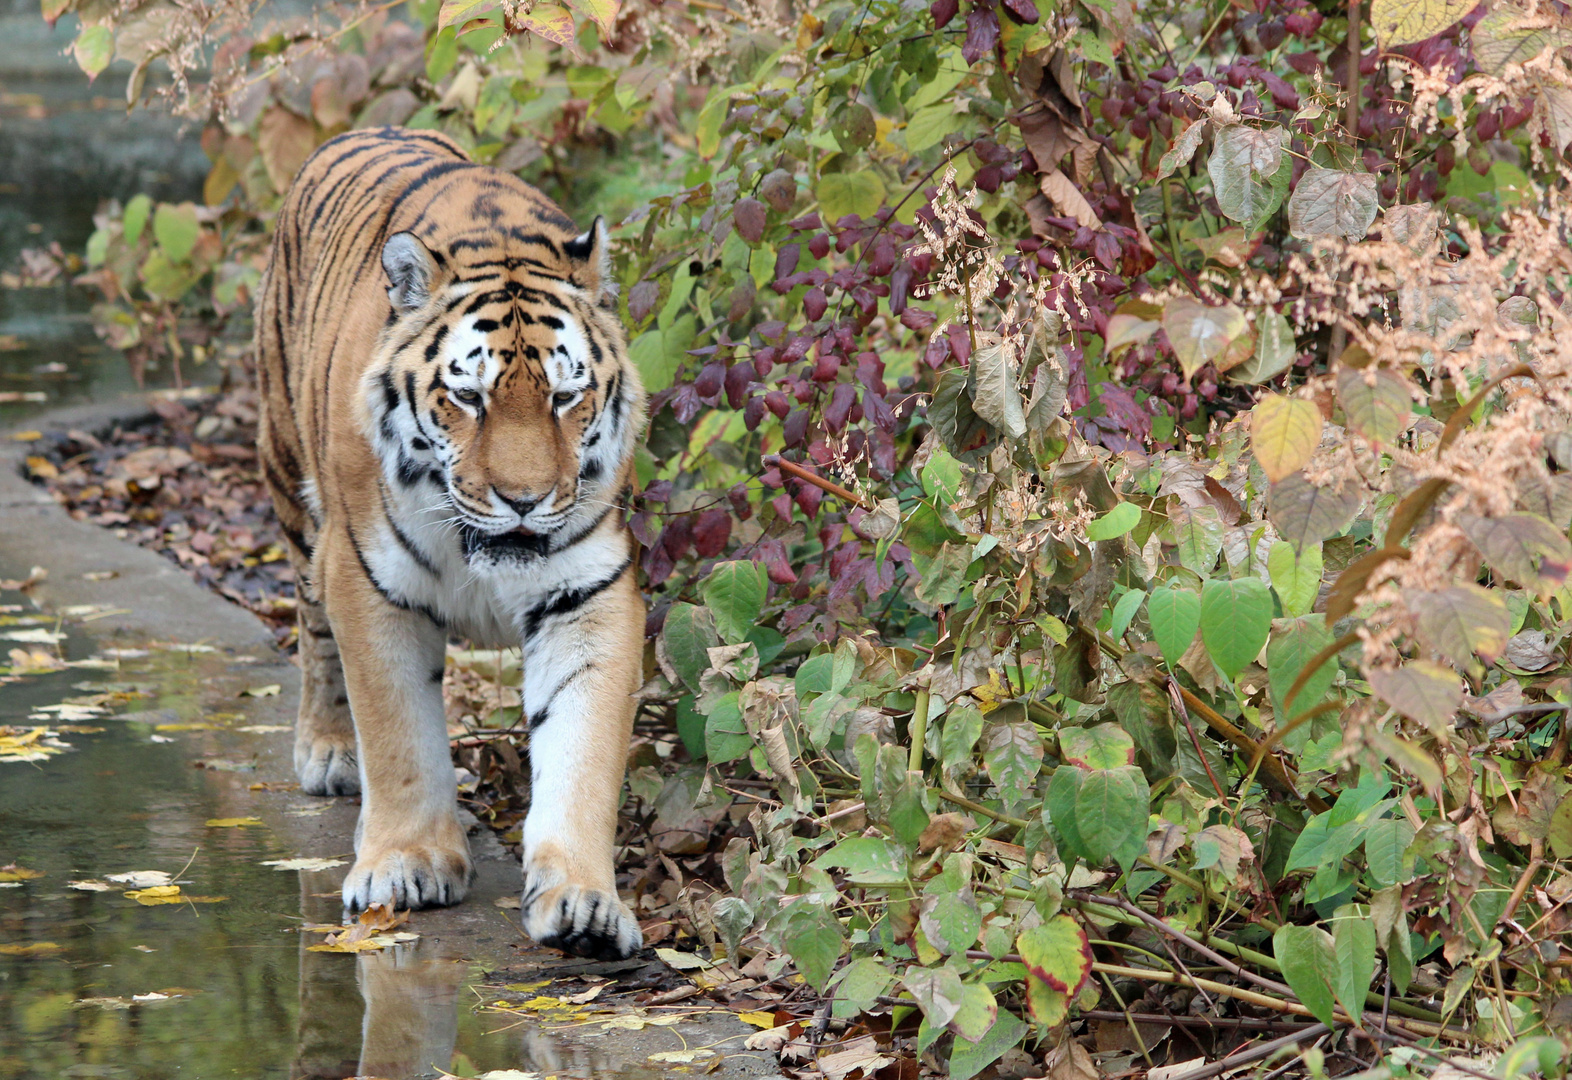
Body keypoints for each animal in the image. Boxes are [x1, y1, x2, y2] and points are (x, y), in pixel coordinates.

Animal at [256, 128, 644, 962]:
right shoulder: (367, 580)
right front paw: (405, 863)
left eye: (566, 396)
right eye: (468, 397)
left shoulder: (589, 592)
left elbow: (582, 751)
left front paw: (585, 902)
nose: (525, 500)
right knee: (312, 632)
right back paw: (329, 751)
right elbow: (398, 733)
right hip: (292, 492)